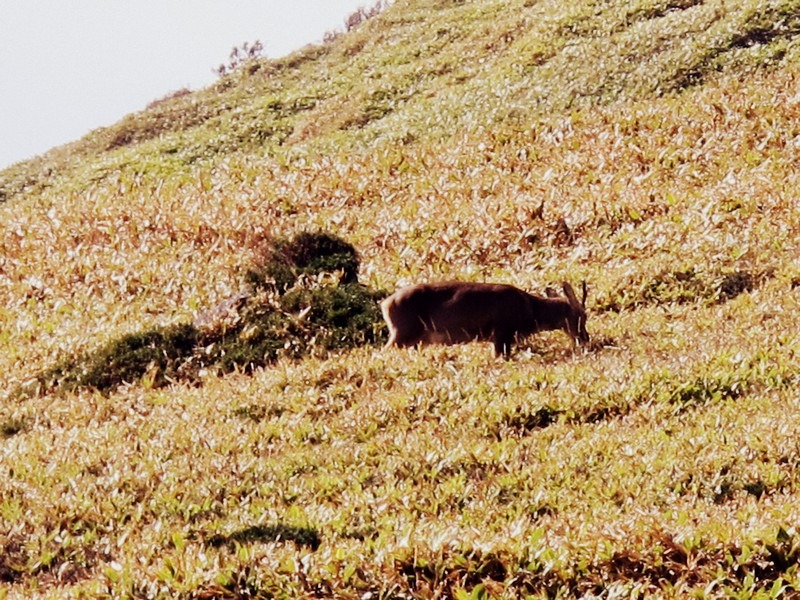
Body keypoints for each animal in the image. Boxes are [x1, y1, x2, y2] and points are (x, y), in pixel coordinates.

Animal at [382, 280, 588, 356]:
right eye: (583, 316)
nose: (585, 338)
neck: (531, 310)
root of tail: (385, 304)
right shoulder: (502, 331)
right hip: (403, 332)